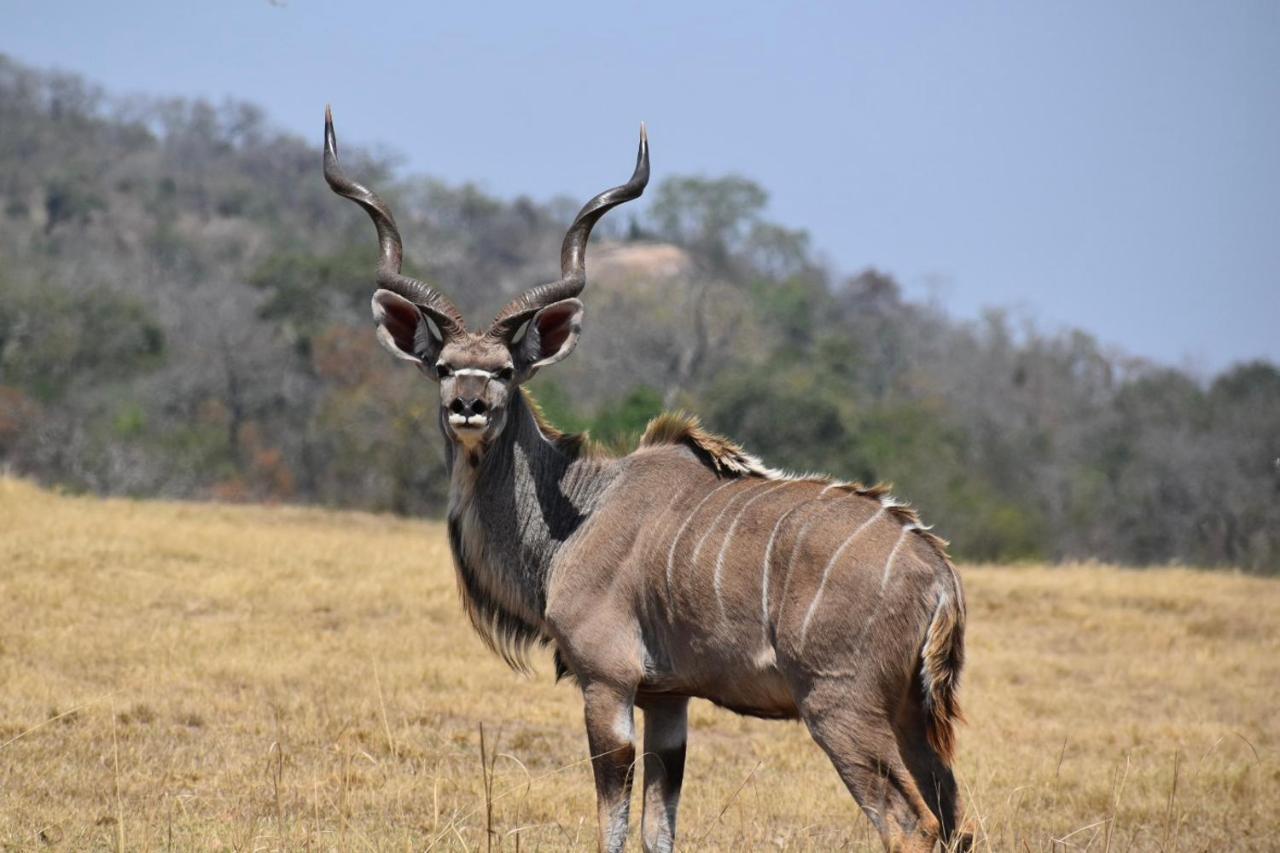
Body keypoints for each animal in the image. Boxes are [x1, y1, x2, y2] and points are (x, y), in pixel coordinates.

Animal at [322, 109, 967, 845]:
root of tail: (937, 572)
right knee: (957, 818)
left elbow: (614, 820)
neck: (579, 510)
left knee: (911, 824)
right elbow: (661, 826)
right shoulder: (668, 696)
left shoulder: (608, 679)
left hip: (841, 708)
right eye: (442, 366)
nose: (469, 406)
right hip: (914, 718)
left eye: (507, 370)